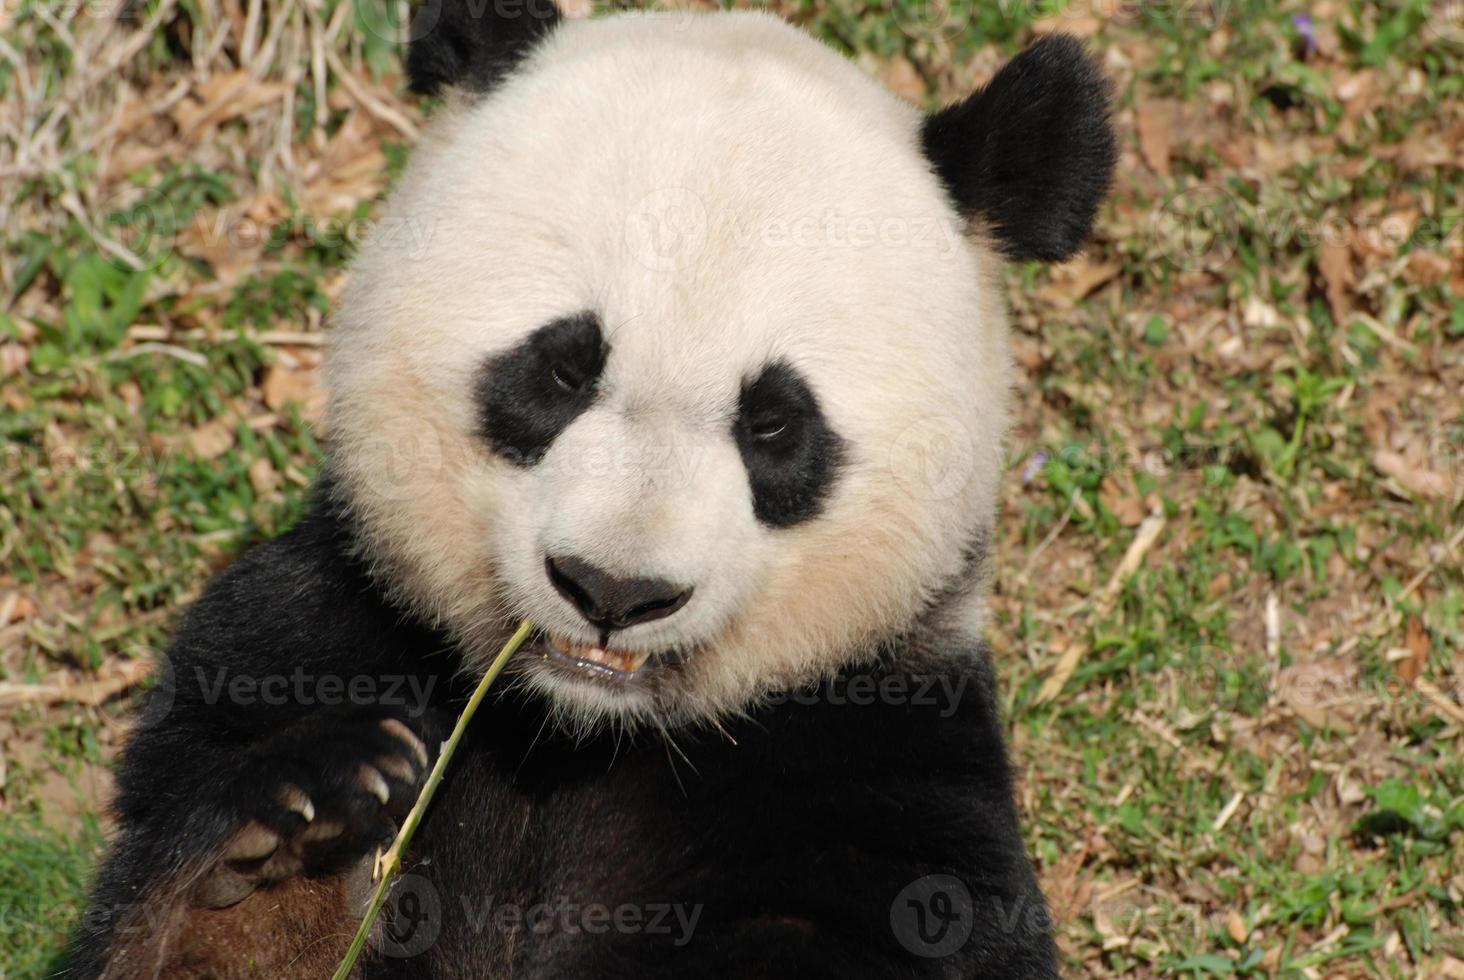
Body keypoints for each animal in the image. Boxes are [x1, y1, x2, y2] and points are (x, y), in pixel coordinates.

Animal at [68, 3, 1112, 972]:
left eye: (774, 423)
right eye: (565, 367)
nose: (614, 591)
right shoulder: (311, 638)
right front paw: (296, 849)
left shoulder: (873, 762)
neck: (571, 733)